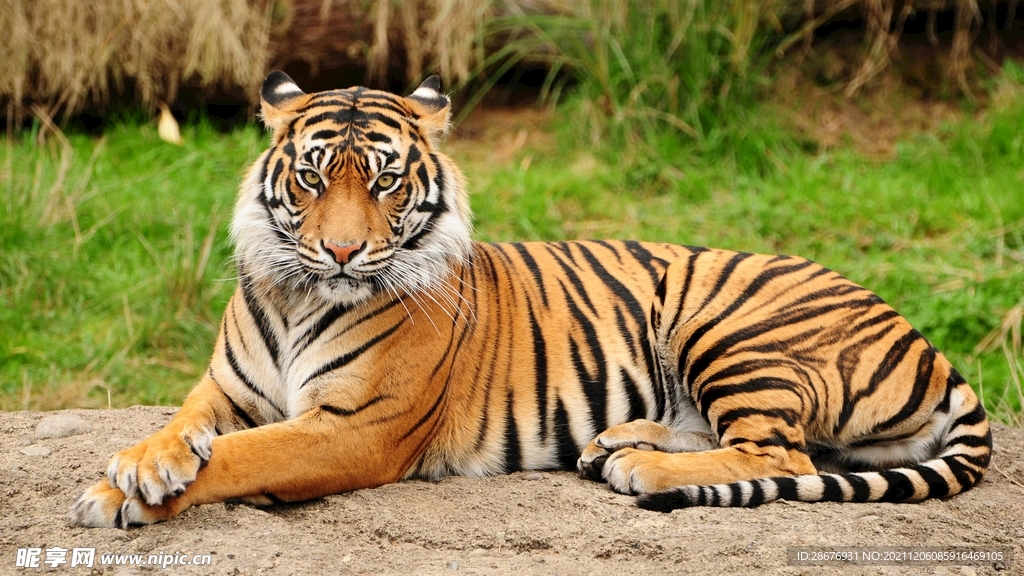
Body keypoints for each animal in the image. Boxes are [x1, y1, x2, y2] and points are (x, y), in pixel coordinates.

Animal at [70, 72, 991, 528]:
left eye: (385, 182)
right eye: (311, 177)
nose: (341, 250)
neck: (300, 295)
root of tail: (928, 342)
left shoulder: (354, 428)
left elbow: (244, 457)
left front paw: (121, 495)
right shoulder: (224, 390)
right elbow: (185, 429)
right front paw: (140, 465)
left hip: (728, 324)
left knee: (784, 456)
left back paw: (641, 467)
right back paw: (616, 443)